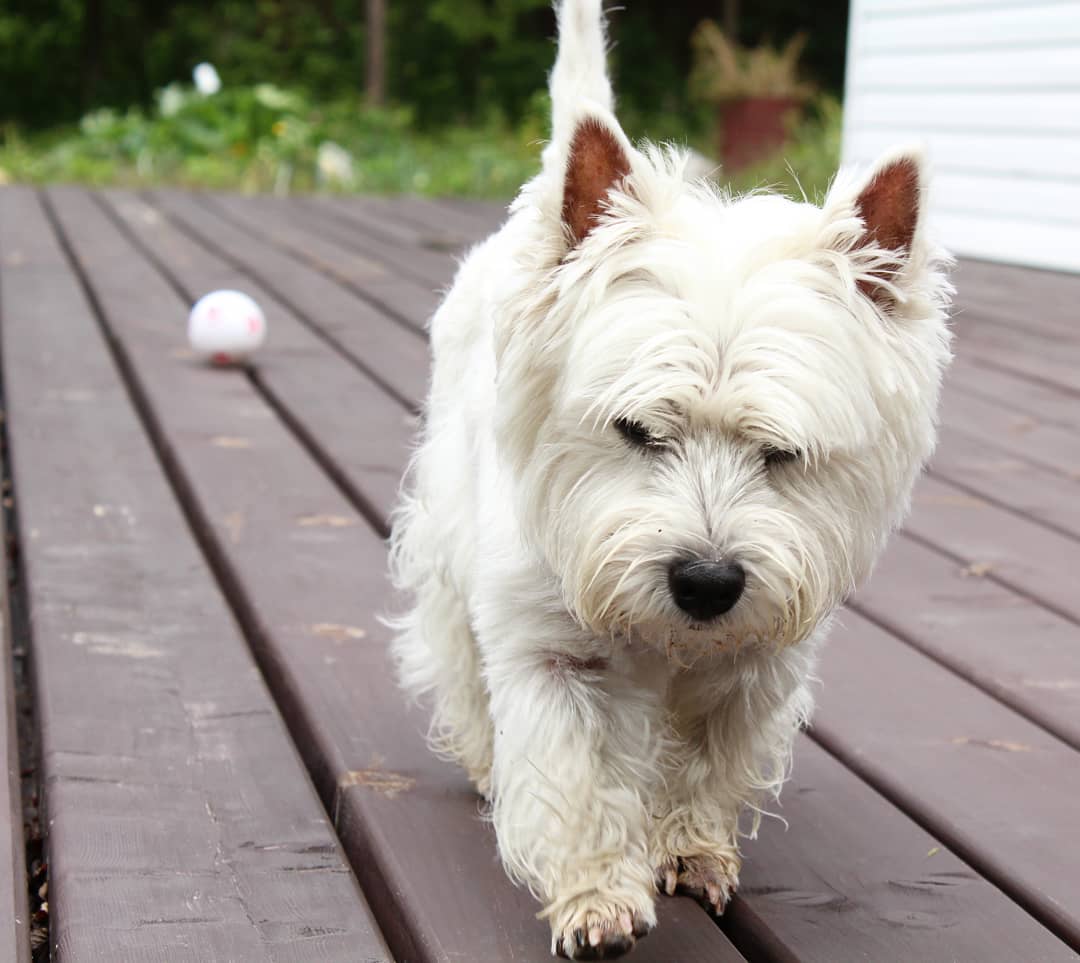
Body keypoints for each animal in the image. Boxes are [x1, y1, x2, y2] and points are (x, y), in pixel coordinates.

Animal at [390, 1, 954, 954]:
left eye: (783, 454)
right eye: (636, 429)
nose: (707, 582)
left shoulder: (759, 660)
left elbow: (710, 761)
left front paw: (689, 849)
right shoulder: (548, 650)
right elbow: (573, 773)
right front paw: (596, 898)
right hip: (444, 531)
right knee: (456, 655)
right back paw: (481, 755)